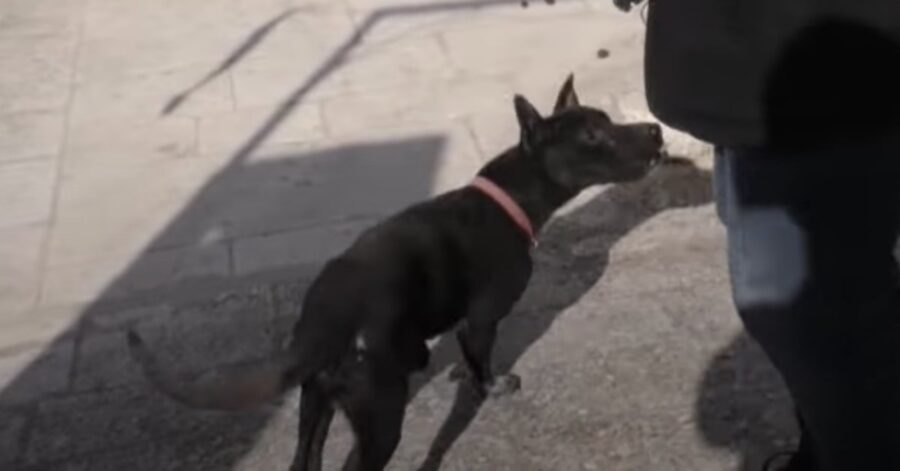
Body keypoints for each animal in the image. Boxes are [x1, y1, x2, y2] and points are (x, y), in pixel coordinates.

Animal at [125, 75, 660, 470]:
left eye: (607, 120)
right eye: (592, 136)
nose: (655, 131)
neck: (510, 195)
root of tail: (322, 326)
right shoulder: (482, 320)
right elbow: (482, 363)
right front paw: (491, 387)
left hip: (316, 402)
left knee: (306, 461)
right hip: (380, 415)